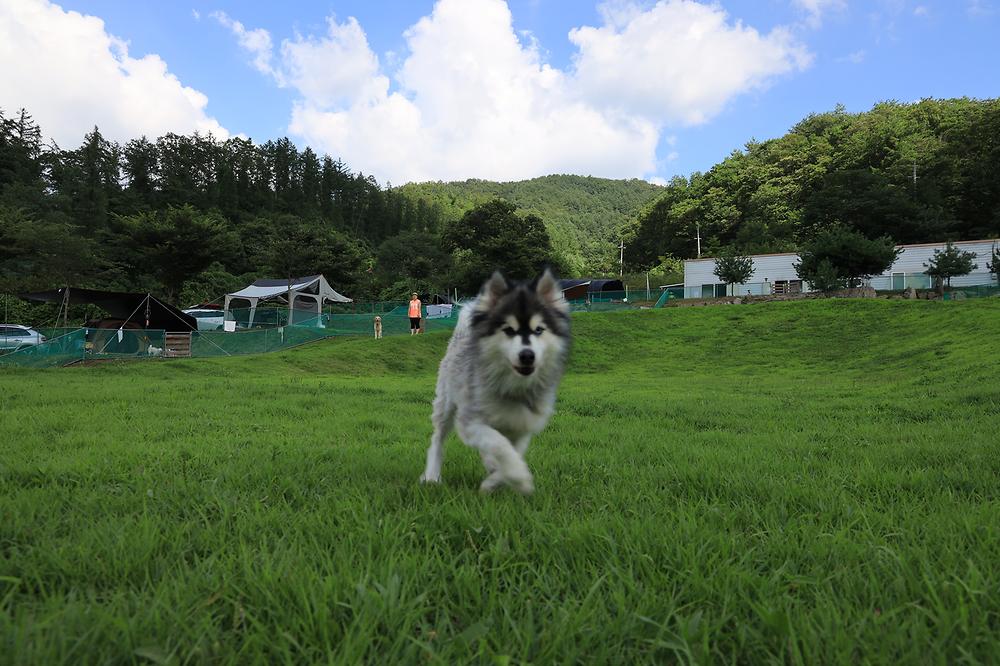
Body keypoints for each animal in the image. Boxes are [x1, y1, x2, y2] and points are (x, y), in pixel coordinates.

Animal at [416, 270, 572, 492]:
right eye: (508, 330)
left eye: (539, 330)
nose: (527, 356)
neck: (513, 385)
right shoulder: (471, 421)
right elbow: (500, 445)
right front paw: (520, 477)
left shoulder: (522, 427)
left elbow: (511, 453)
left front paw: (495, 481)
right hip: (446, 403)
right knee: (438, 438)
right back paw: (431, 476)